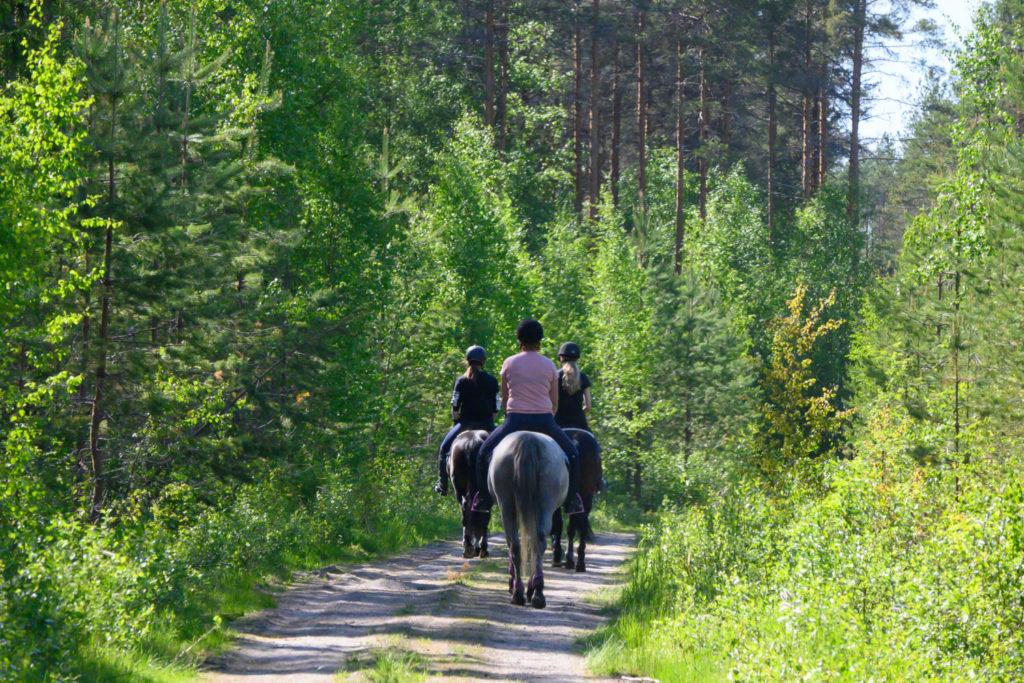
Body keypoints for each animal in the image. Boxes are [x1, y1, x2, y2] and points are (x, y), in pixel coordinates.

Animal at [487, 432, 569, 610]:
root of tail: (528, 439)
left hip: (508, 507)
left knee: (516, 544)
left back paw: (520, 592)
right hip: (543, 506)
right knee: (535, 542)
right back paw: (536, 592)